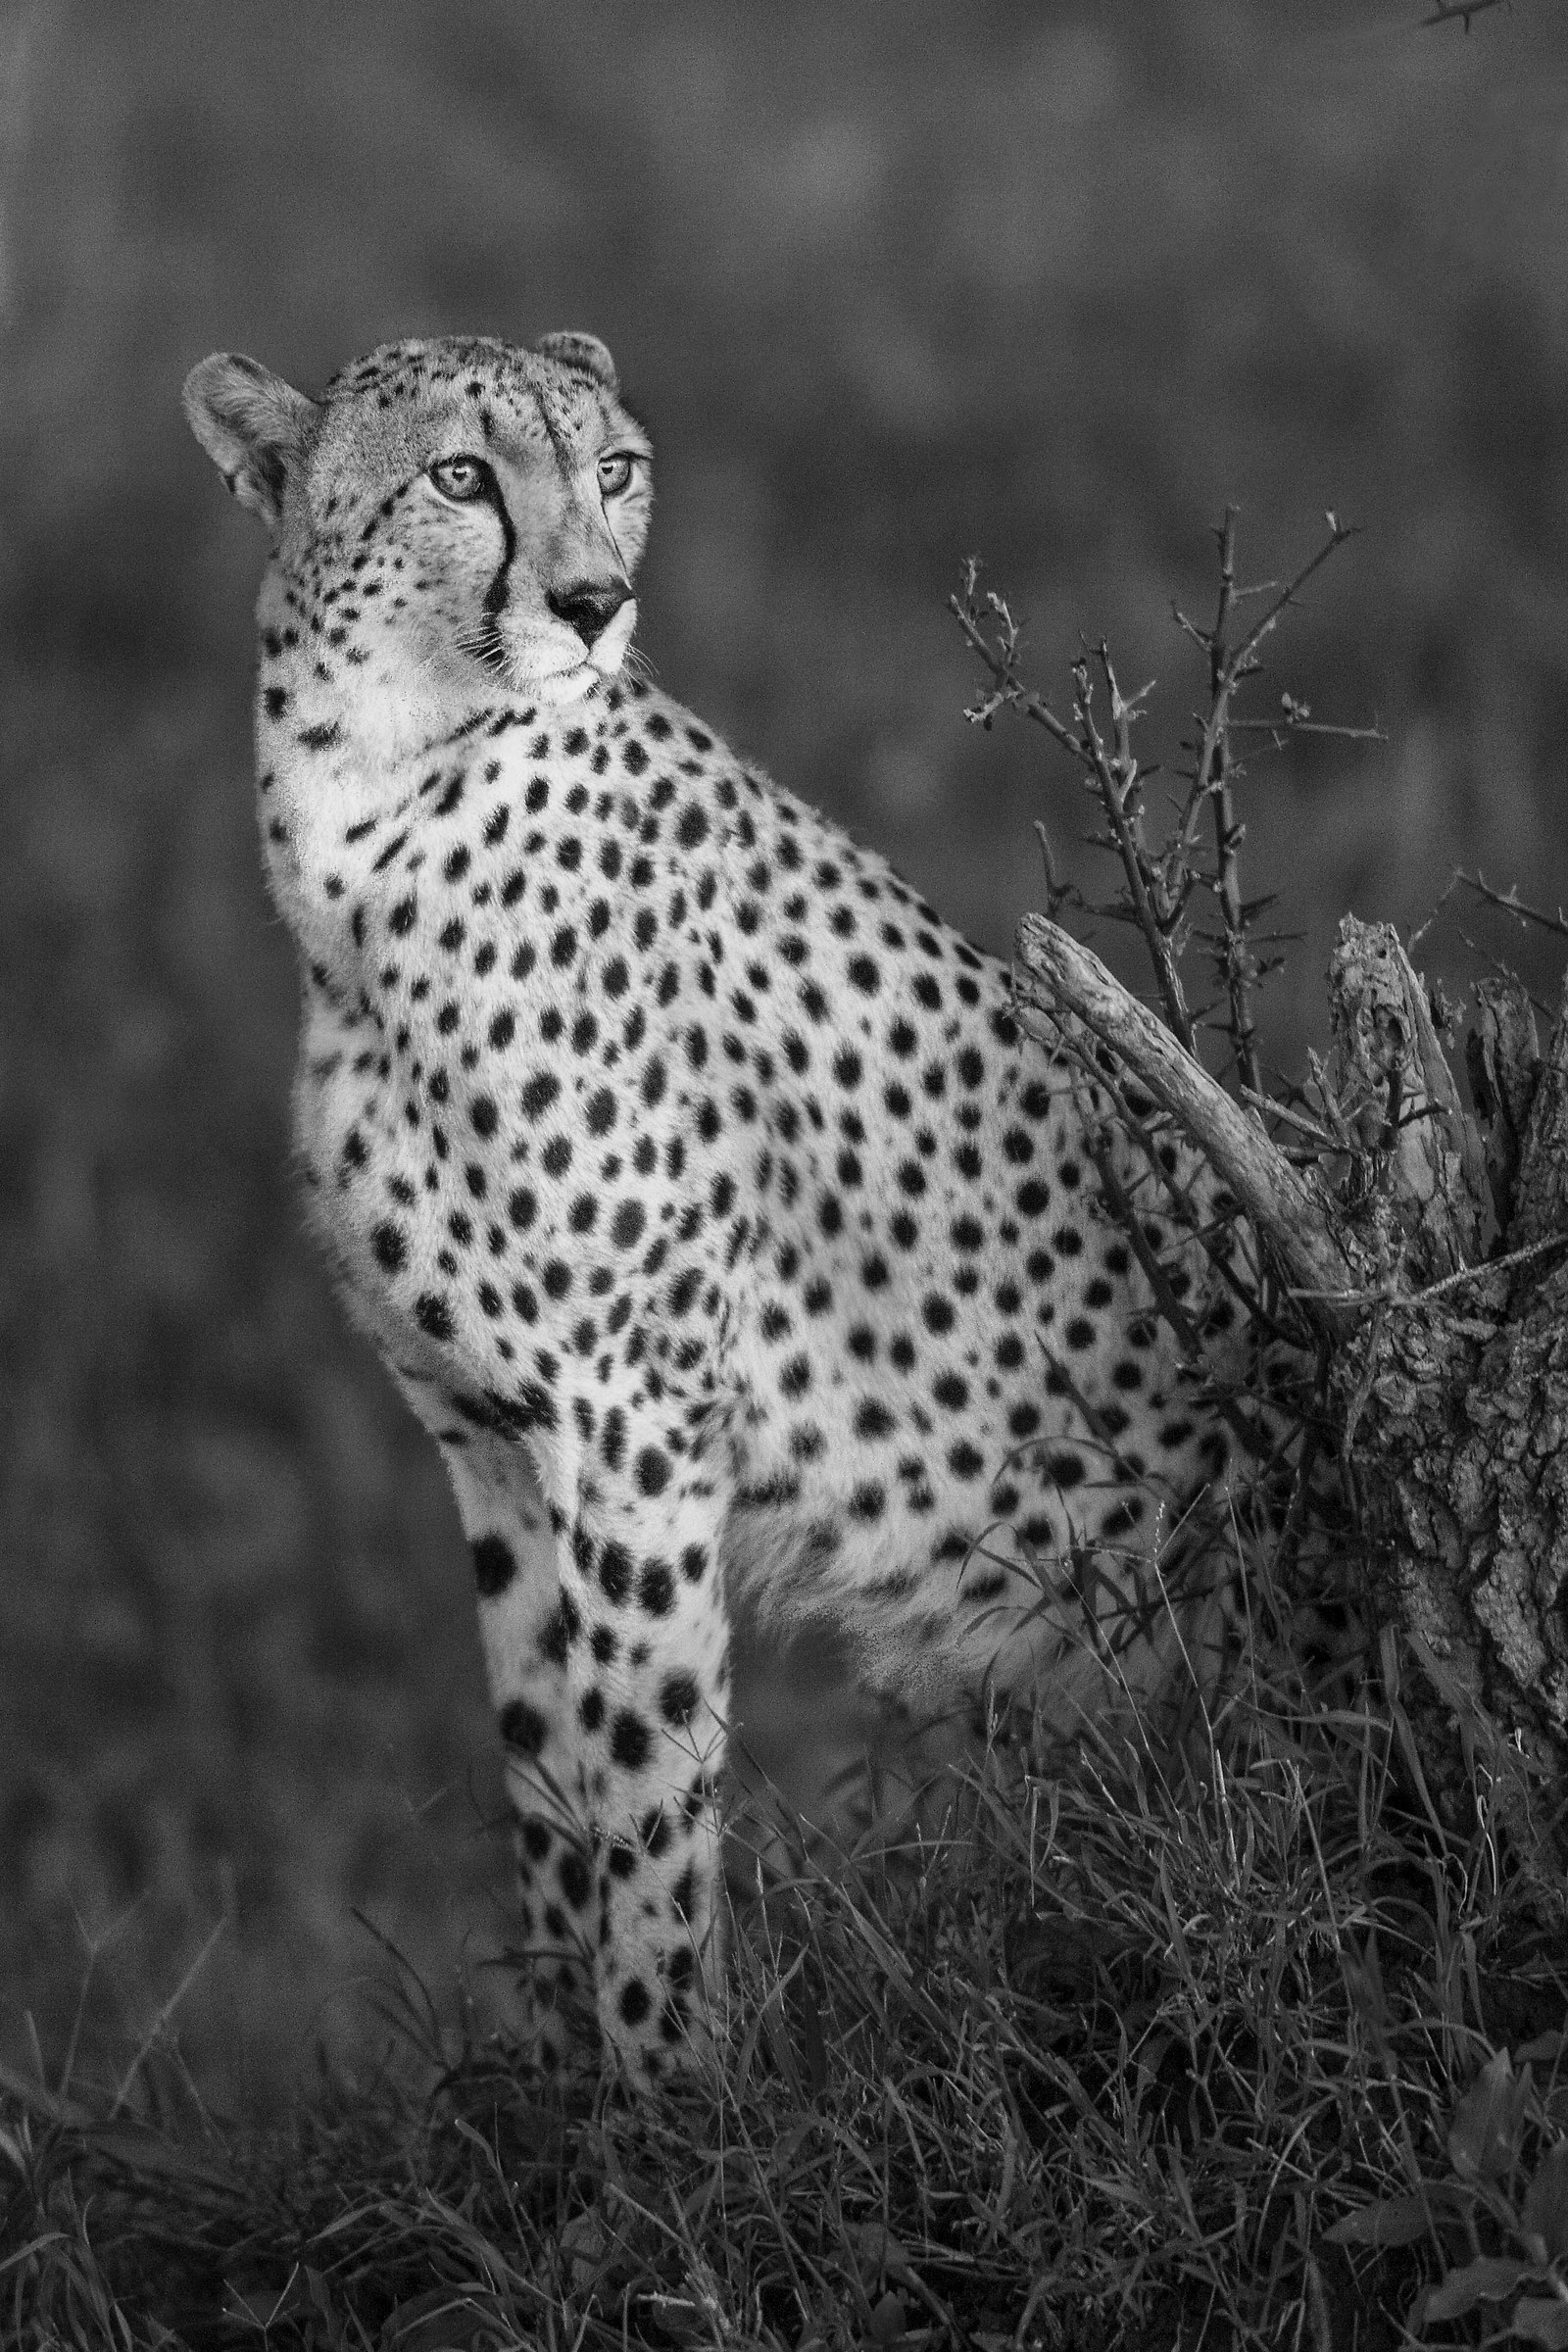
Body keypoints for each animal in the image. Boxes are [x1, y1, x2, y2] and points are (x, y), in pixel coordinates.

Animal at [183, 330, 1267, 2085]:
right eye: (461, 475)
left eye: (613, 468)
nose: (592, 601)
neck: (367, 817)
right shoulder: (490, 1437)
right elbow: (548, 1772)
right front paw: (565, 2097)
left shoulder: (639, 1418)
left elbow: (647, 1790)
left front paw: (671, 2098)